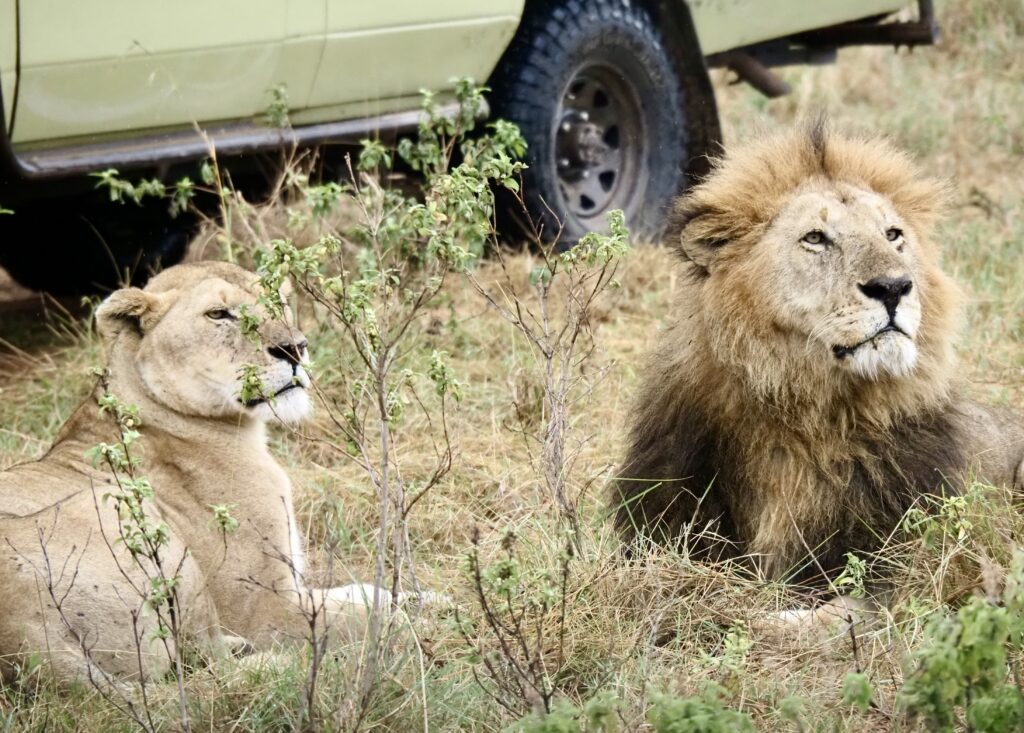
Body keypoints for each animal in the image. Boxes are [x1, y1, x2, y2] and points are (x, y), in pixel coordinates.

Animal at [1, 262, 391, 679]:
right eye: (218, 315)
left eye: (280, 301)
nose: (295, 348)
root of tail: (27, 640)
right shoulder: (265, 608)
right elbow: (371, 619)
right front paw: (414, 611)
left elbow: (364, 595)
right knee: (204, 653)